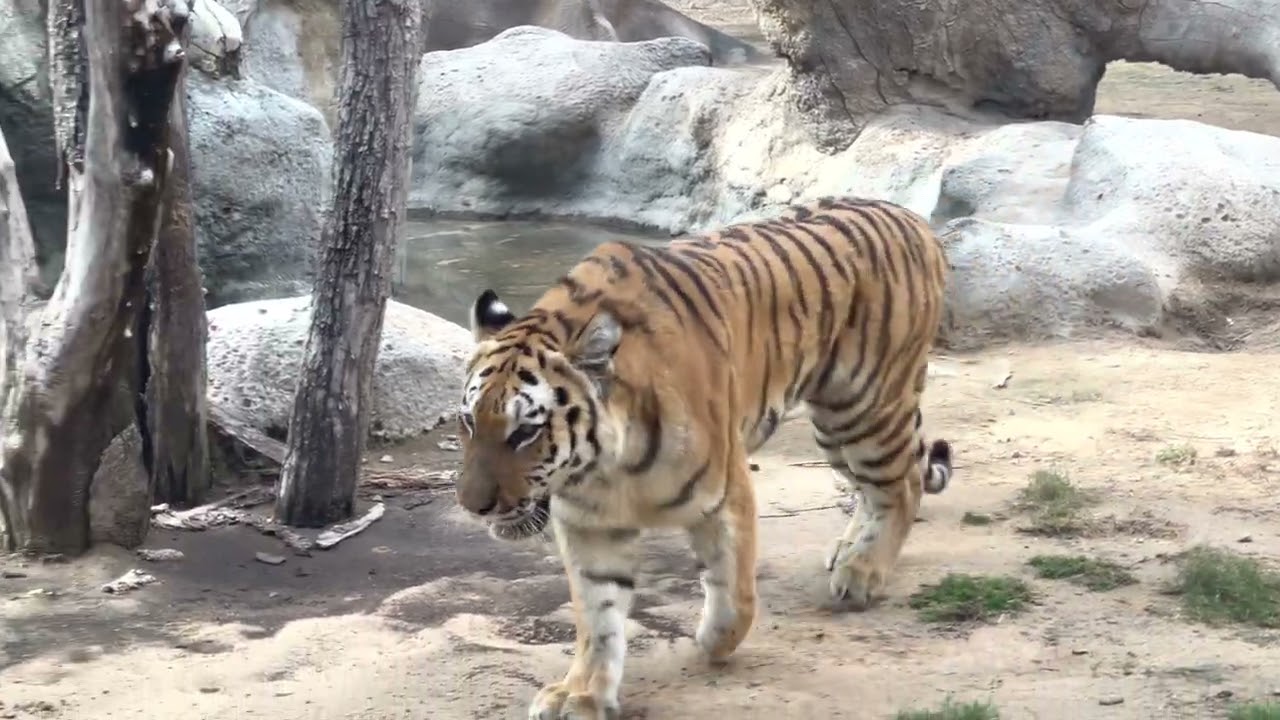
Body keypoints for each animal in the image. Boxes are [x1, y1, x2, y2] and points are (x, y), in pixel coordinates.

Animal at [455, 196, 955, 720]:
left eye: (524, 432)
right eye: (468, 423)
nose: (473, 506)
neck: (604, 467)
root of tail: (912, 218)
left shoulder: (725, 494)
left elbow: (735, 594)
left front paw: (713, 642)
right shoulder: (588, 523)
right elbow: (597, 617)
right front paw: (582, 693)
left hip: (863, 409)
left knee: (902, 486)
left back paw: (862, 573)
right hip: (835, 427)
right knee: (874, 487)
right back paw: (849, 549)